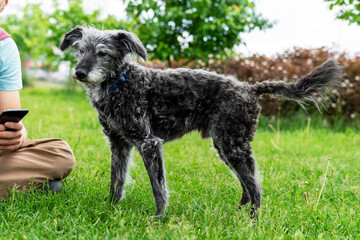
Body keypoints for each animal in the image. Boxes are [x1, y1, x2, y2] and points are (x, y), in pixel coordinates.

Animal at [60, 25, 342, 218]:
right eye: (80, 51)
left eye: (103, 53)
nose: (79, 72)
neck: (120, 83)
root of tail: (250, 88)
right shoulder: (119, 144)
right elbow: (116, 180)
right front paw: (110, 208)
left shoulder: (149, 143)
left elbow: (158, 187)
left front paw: (159, 217)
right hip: (226, 145)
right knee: (246, 183)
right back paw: (241, 212)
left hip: (233, 145)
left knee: (255, 185)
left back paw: (254, 219)